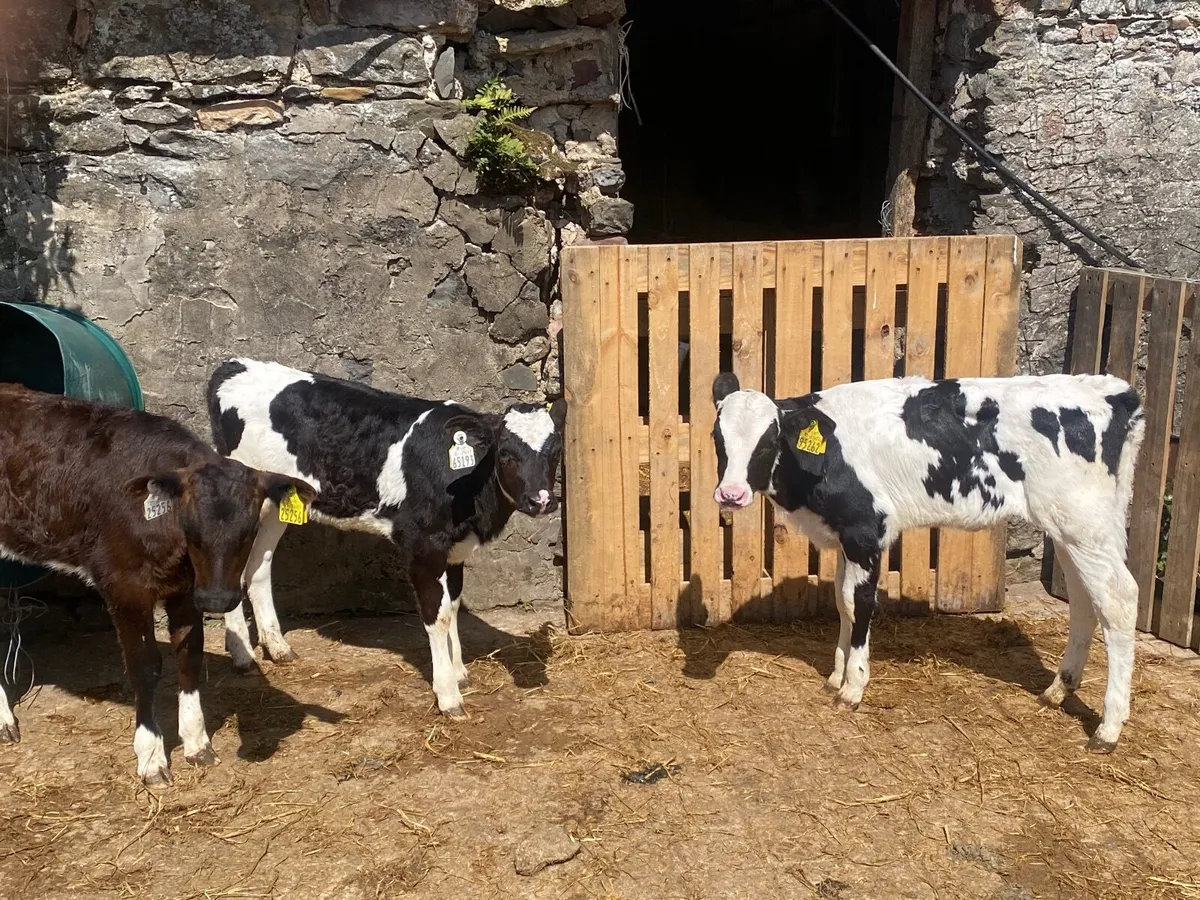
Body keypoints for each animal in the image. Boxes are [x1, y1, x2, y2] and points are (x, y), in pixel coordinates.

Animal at [0, 383, 315, 784]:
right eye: (191, 529)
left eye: (249, 531)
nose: (217, 599)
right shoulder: (124, 585)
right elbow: (145, 665)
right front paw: (151, 757)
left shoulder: (185, 590)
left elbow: (189, 654)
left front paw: (197, 742)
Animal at [206, 358, 566, 719]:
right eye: (505, 453)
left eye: (556, 452)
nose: (541, 501)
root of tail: (235, 364)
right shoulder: (423, 546)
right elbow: (437, 614)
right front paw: (448, 694)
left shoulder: (455, 549)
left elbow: (453, 604)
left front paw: (458, 671)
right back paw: (242, 655)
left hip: (277, 504)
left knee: (258, 567)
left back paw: (277, 647)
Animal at [710, 371, 1145, 752]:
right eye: (717, 436)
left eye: (769, 441)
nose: (730, 494)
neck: (828, 456)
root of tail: (1112, 392)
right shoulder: (845, 536)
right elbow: (841, 601)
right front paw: (835, 675)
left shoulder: (867, 530)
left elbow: (859, 603)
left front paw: (853, 686)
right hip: (1069, 528)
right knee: (1084, 598)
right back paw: (1058, 689)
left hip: (1084, 523)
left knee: (1119, 600)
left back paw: (1108, 728)